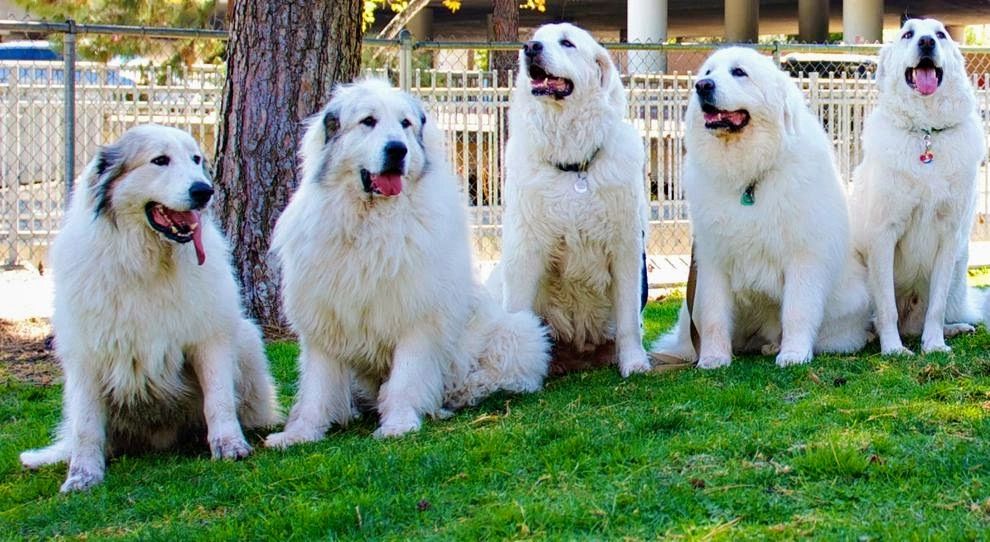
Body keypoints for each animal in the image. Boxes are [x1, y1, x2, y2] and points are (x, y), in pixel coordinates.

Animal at [20, 125, 282, 496]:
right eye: (160, 160)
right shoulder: (85, 355)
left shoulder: (209, 337)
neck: (147, 261)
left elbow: (218, 400)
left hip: (245, 337)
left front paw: (229, 446)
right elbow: (86, 426)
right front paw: (82, 475)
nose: (204, 191)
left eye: (196, 159)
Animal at [268, 79, 556, 446]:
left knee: (497, 377)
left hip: (519, 331)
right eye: (368, 121)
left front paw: (399, 424)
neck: (370, 223)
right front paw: (299, 433)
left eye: (405, 124)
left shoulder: (417, 318)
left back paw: (454, 397)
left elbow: (405, 379)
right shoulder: (325, 320)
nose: (397, 150)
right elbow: (316, 389)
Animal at [486, 22, 656, 378]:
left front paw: (634, 361)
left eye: (567, 43)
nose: (530, 48)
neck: (574, 165)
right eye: (536, 39)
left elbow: (628, 318)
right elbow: (517, 313)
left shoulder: (626, 248)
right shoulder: (524, 249)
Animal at [656, 47, 872, 370]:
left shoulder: (803, 259)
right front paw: (713, 358)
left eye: (739, 72)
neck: (749, 178)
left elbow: (798, 311)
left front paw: (794, 354)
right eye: (708, 73)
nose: (702, 87)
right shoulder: (714, 261)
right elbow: (714, 318)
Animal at [852, 18, 984, 356]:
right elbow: (887, 307)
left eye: (941, 34)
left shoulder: (950, 237)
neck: (926, 132)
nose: (926, 42)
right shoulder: (883, 234)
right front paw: (893, 350)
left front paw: (934, 344)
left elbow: (936, 306)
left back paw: (954, 328)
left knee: (924, 318)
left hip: (959, 271)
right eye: (907, 34)